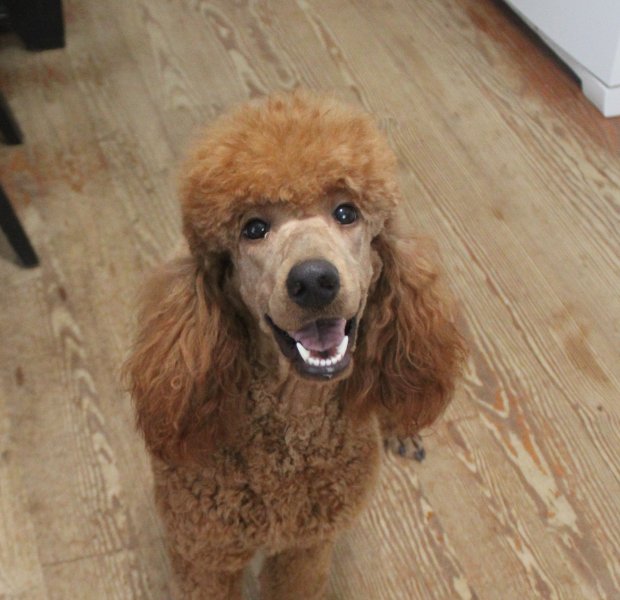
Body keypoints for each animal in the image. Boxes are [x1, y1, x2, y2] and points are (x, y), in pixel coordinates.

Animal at [124, 91, 465, 599]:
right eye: (253, 229)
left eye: (346, 213)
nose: (315, 281)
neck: (292, 420)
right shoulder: (204, 554)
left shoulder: (306, 547)